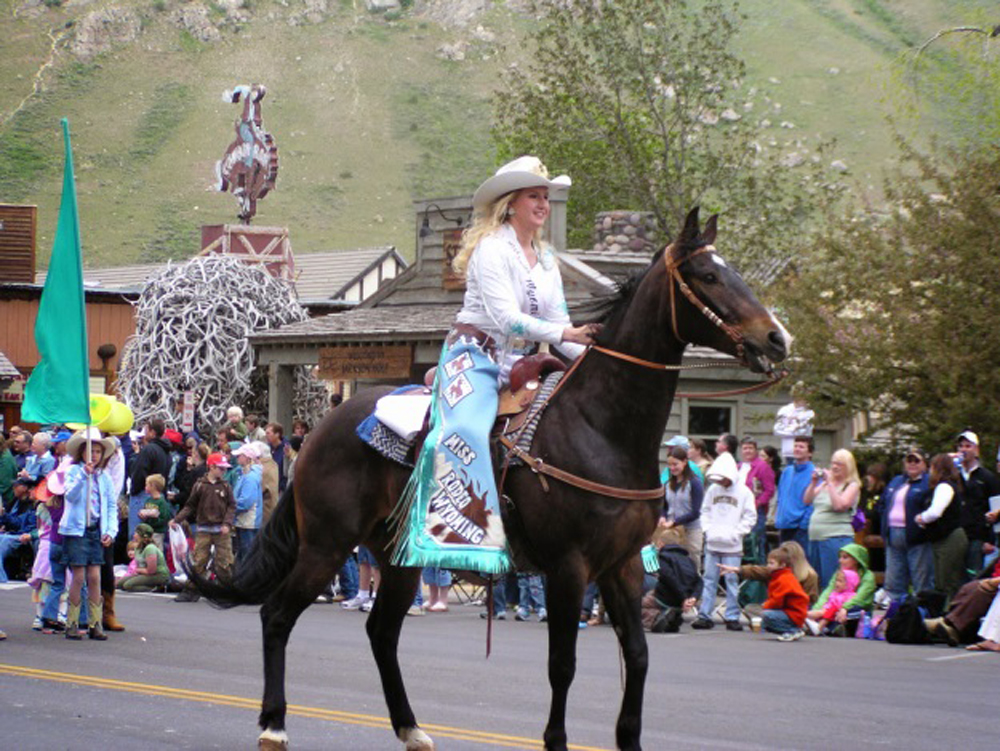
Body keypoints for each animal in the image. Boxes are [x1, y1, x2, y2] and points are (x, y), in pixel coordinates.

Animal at [195, 209, 788, 751]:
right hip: (326, 543)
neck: (600, 426)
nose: (776, 338)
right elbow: (563, 663)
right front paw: (555, 741)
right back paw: (274, 725)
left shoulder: (621, 565)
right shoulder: (569, 566)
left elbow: (638, 658)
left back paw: (411, 729)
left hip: (400, 557)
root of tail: (318, 432)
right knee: (277, 614)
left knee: (381, 633)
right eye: (708, 276)